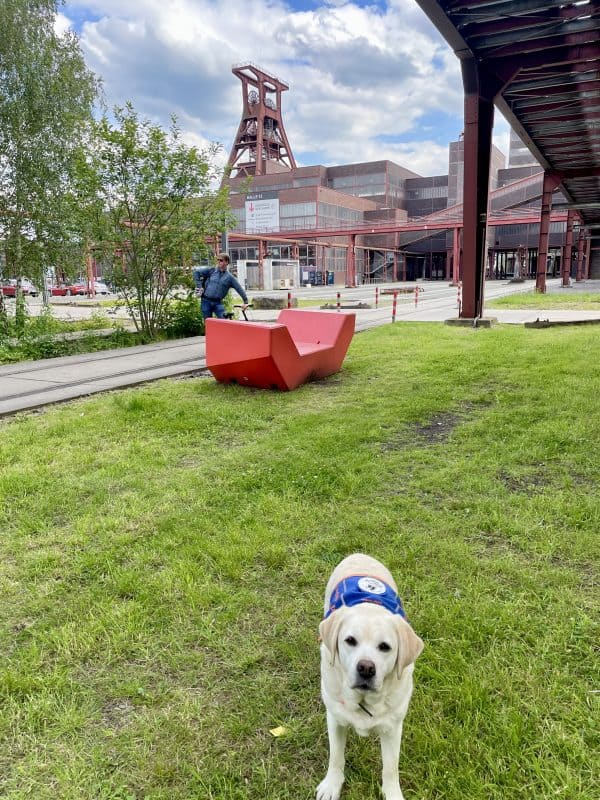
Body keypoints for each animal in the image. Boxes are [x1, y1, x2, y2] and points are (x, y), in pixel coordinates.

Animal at [318, 552, 422, 800]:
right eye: (350, 640)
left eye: (385, 647)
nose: (366, 668)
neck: (364, 701)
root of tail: (359, 554)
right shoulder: (335, 719)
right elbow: (336, 757)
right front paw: (331, 785)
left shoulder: (393, 727)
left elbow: (391, 767)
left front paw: (392, 794)